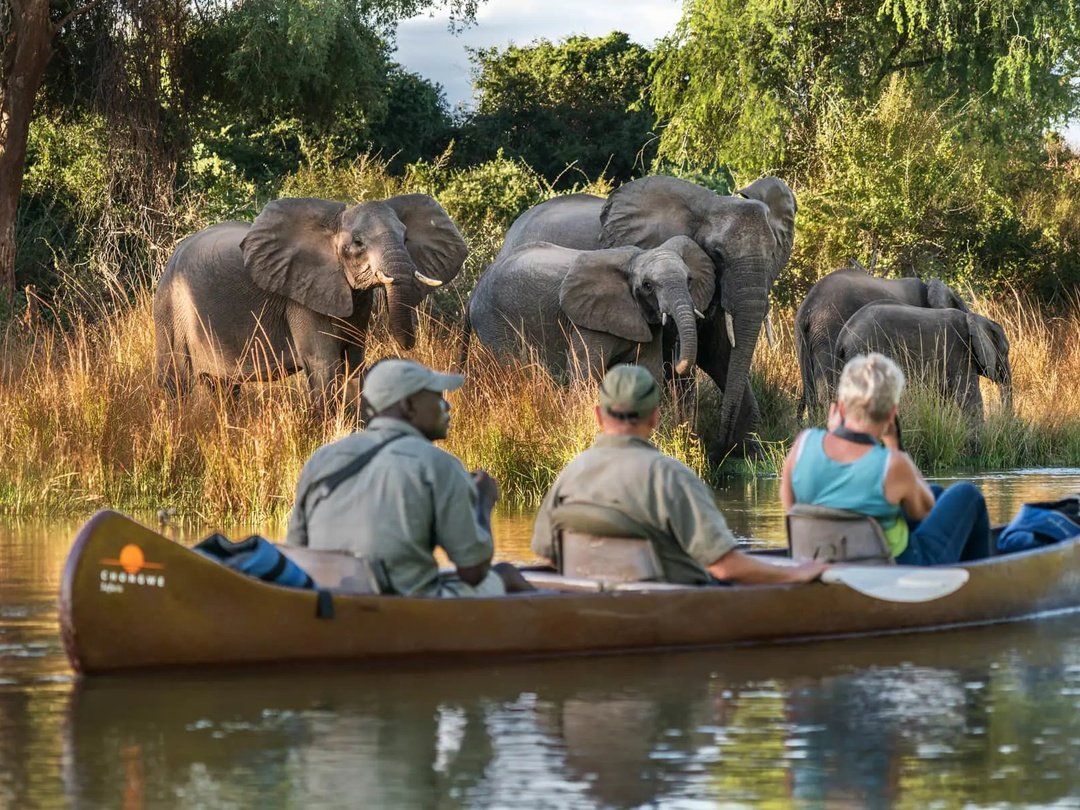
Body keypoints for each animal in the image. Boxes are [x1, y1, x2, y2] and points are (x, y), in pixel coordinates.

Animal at [153, 194, 467, 404]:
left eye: (405, 239)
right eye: (358, 243)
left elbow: (353, 361)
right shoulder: (301, 297)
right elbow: (324, 363)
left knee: (223, 387)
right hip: (170, 305)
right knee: (177, 382)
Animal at [464, 236, 715, 383]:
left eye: (689, 279)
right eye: (647, 285)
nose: (678, 362)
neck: (635, 258)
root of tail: (474, 290)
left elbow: (648, 371)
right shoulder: (587, 323)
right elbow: (585, 371)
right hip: (493, 321)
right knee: (516, 368)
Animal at [495, 175, 798, 453]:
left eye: (773, 252)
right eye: (718, 254)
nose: (721, 444)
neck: (707, 206)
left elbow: (718, 353)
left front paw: (747, 452)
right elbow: (683, 351)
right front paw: (687, 438)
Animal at [835, 303, 1013, 419]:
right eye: (1006, 351)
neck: (974, 318)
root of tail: (843, 335)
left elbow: (943, 398)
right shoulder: (959, 351)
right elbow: (969, 397)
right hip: (866, 350)